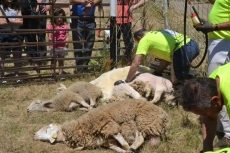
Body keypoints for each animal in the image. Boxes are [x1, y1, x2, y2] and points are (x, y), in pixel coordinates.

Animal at [33, 98, 170, 152]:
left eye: (48, 128)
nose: (34, 135)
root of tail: (164, 116)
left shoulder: (107, 125)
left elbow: (122, 140)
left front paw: (127, 148)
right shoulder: (105, 142)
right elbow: (118, 148)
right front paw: (123, 150)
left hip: (144, 120)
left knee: (140, 137)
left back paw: (133, 146)